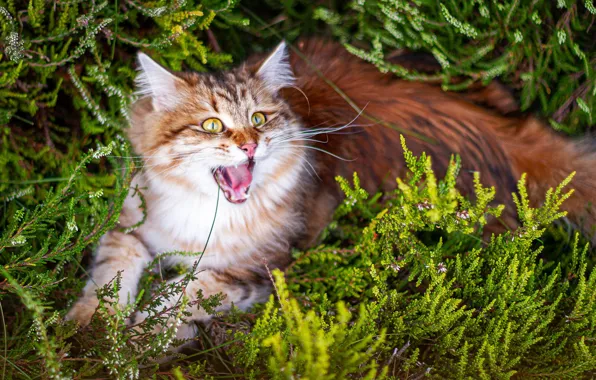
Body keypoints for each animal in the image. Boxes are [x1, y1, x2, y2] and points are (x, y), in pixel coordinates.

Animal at [66, 39, 596, 344]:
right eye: (212, 124)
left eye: (260, 118)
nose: (250, 143)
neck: (207, 214)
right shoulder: (132, 225)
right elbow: (111, 273)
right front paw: (89, 324)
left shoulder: (260, 269)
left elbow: (186, 291)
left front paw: (145, 333)